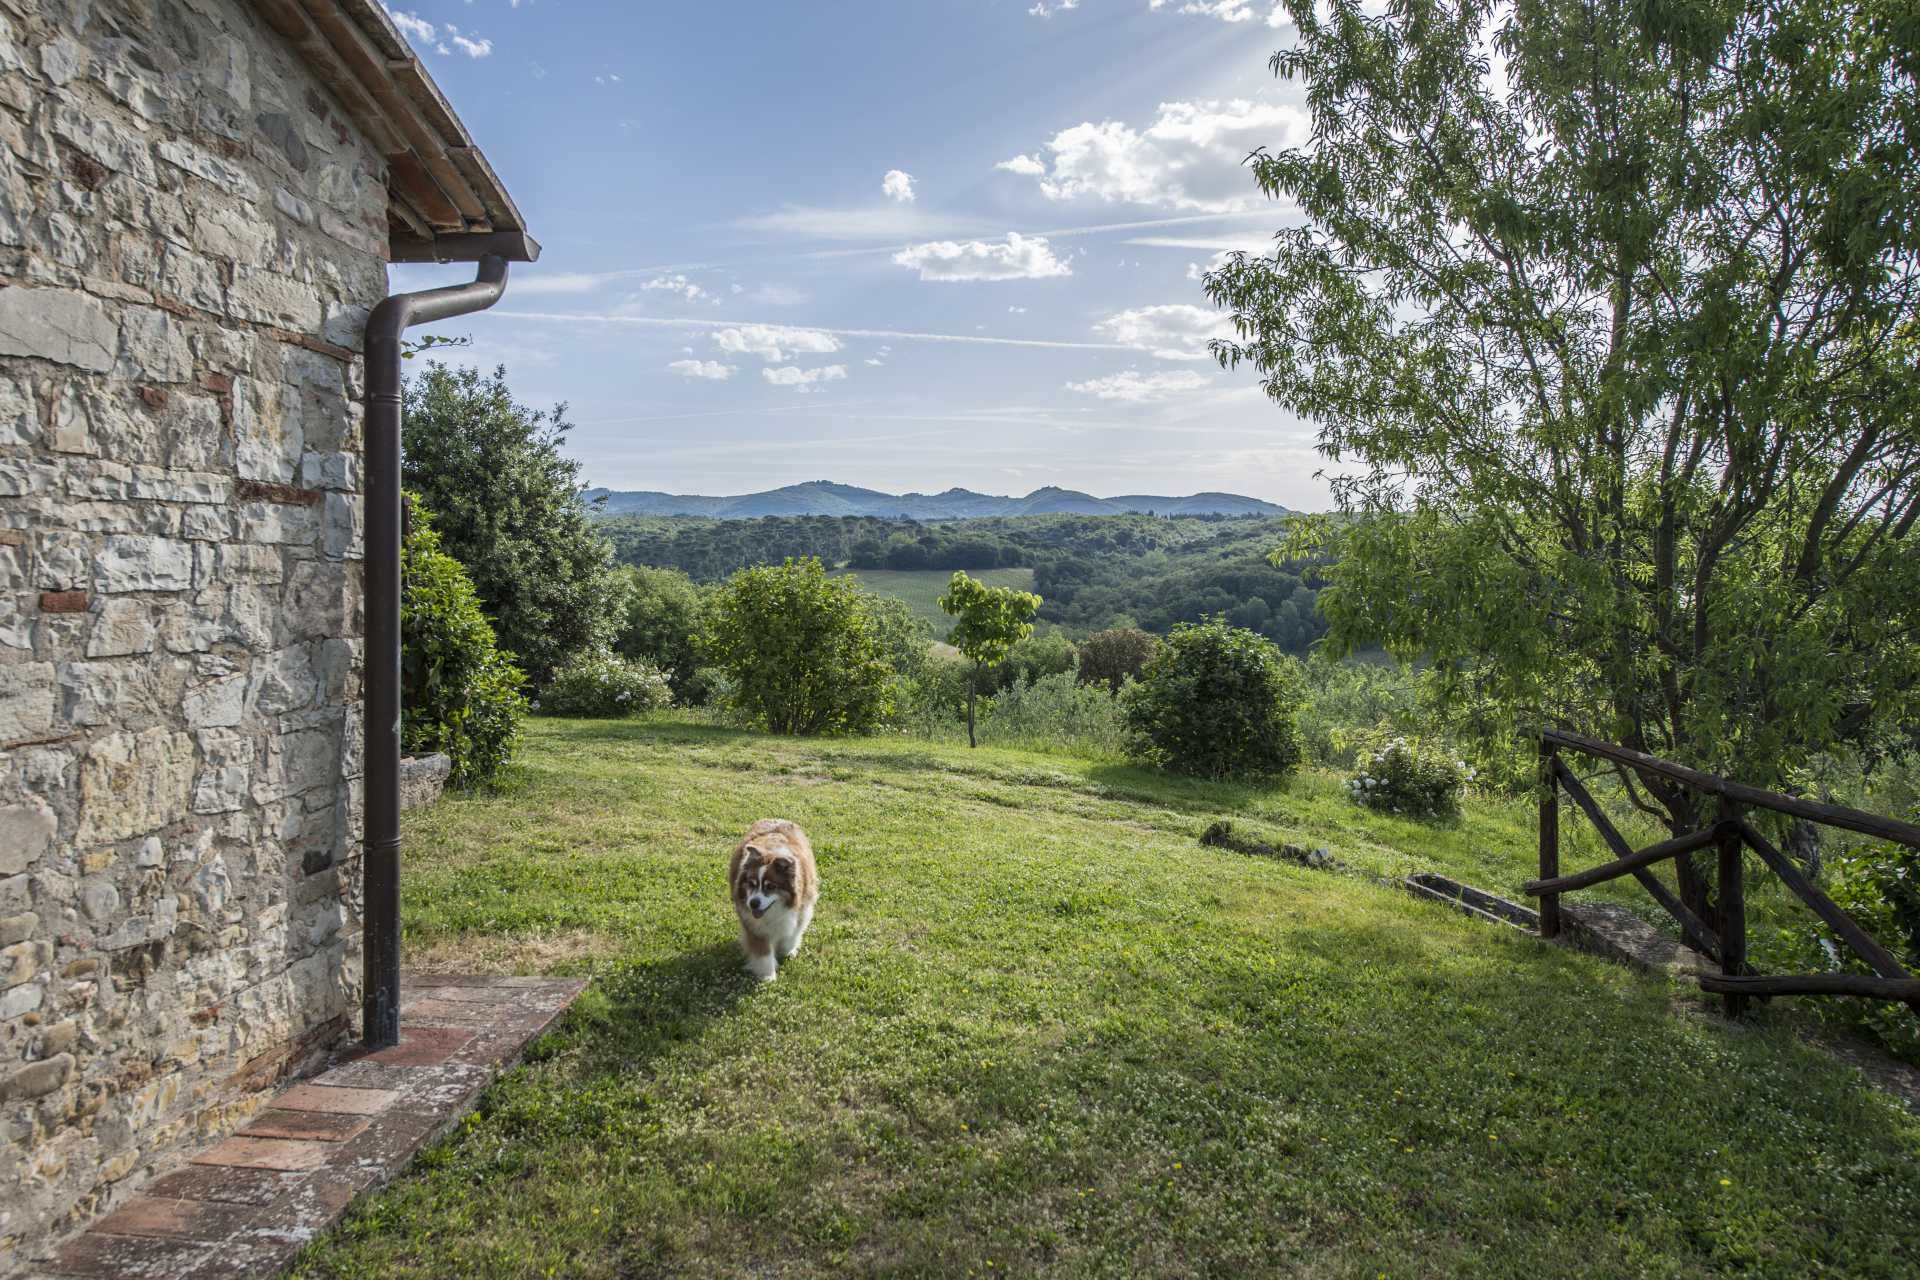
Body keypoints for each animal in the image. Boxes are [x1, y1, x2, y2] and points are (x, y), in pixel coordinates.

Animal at [725, 817, 817, 990]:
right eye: (752, 884)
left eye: (770, 887)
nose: (753, 904)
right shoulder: (753, 925)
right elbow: (763, 952)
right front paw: (768, 976)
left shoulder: (802, 910)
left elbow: (792, 934)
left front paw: (787, 950)